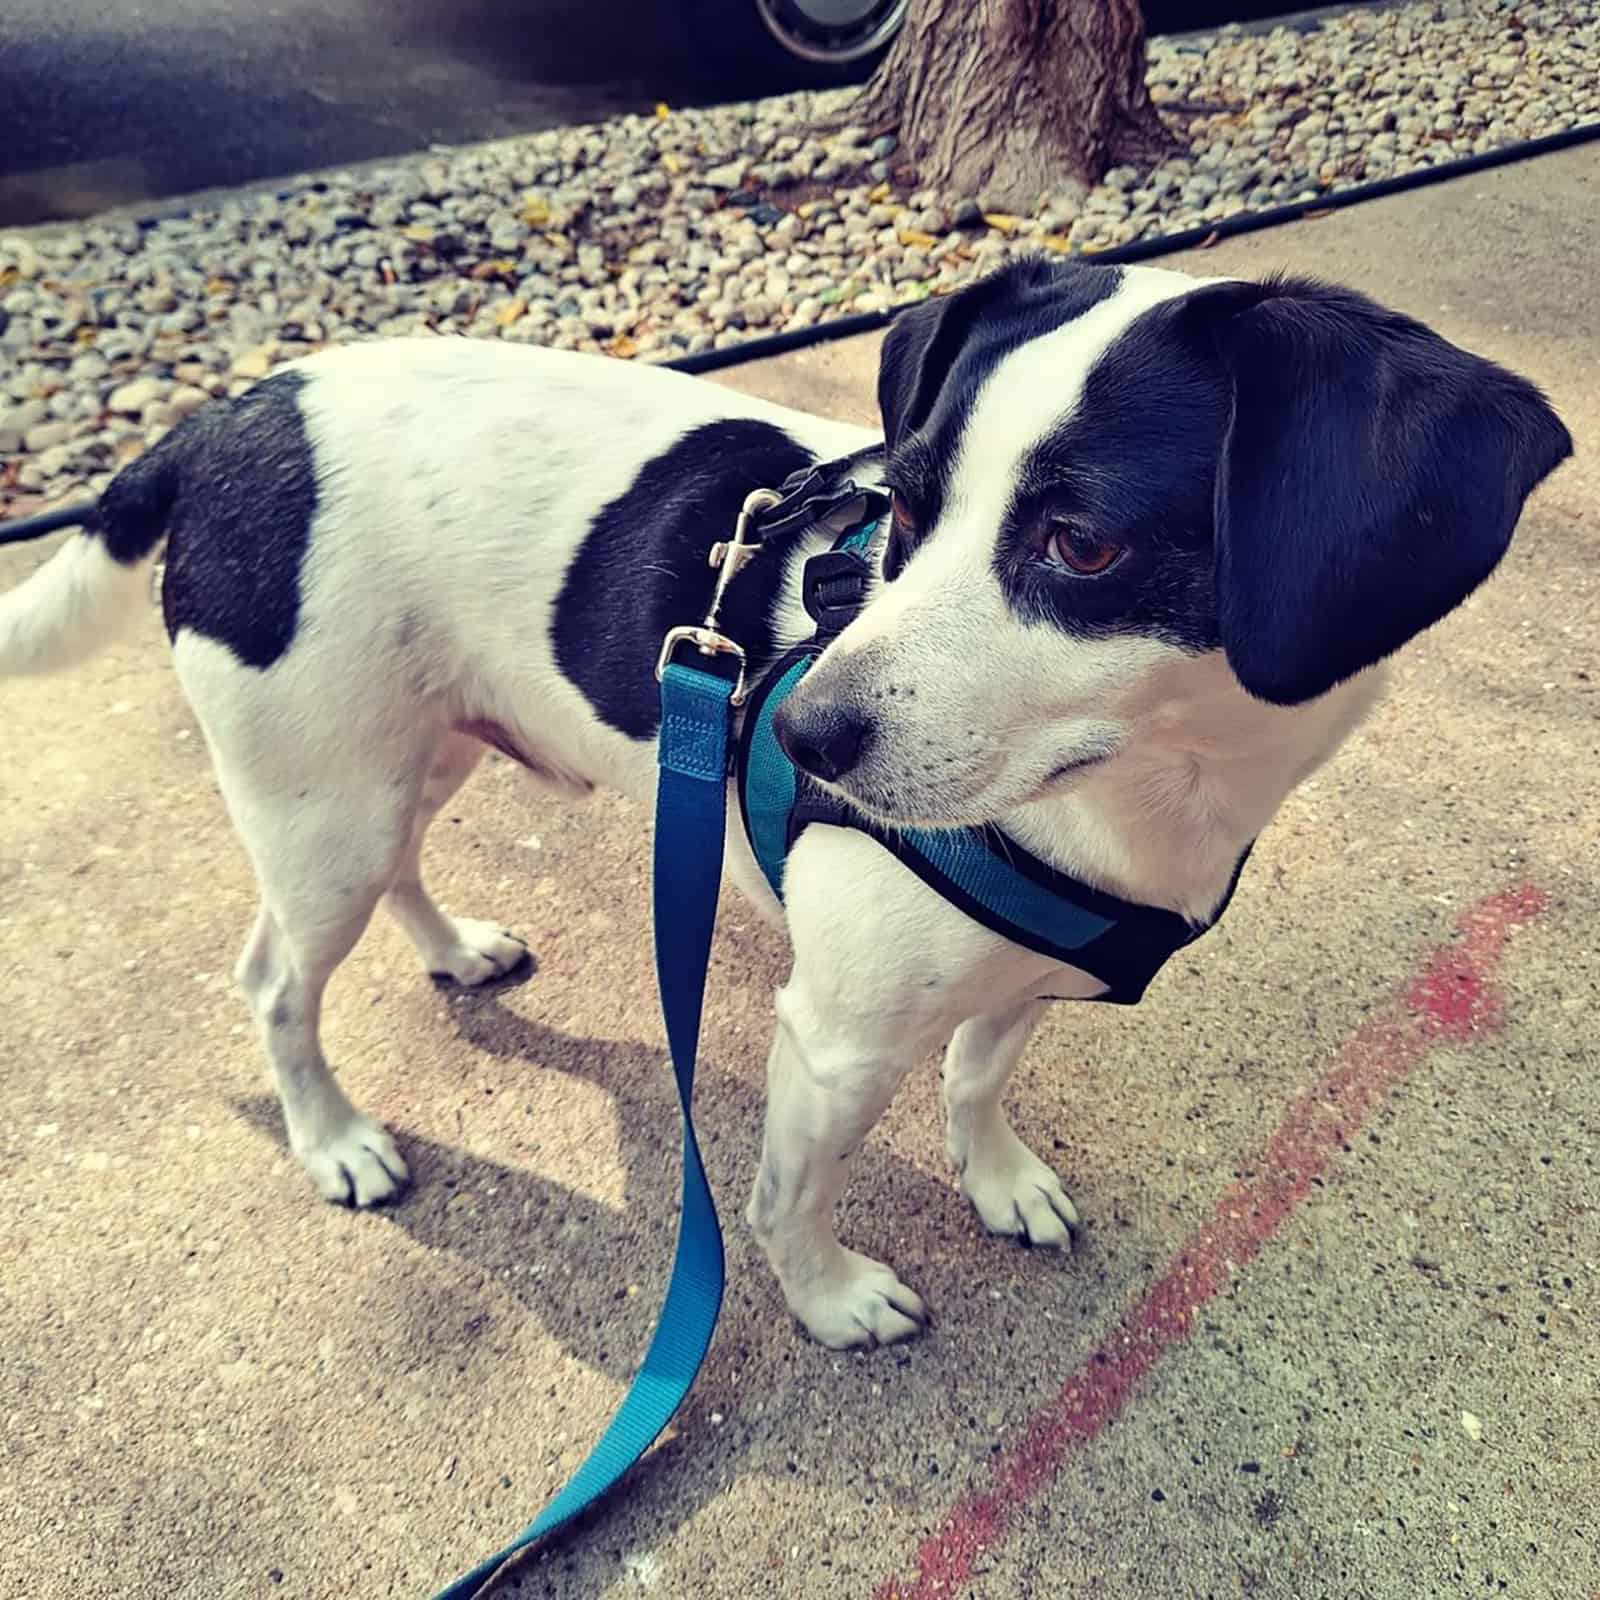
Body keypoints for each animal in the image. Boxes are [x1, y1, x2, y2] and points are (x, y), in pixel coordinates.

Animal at [0, 262, 1574, 1350]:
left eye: (1083, 543)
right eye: (909, 509)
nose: (798, 729)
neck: (1146, 798)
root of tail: (228, 417)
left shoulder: (1022, 976)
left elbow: (980, 1076)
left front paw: (996, 1177)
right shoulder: (833, 1044)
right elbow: (787, 1197)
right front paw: (828, 1301)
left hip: (405, 762)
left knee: (395, 873)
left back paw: (453, 952)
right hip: (324, 801)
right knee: (276, 981)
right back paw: (333, 1139)